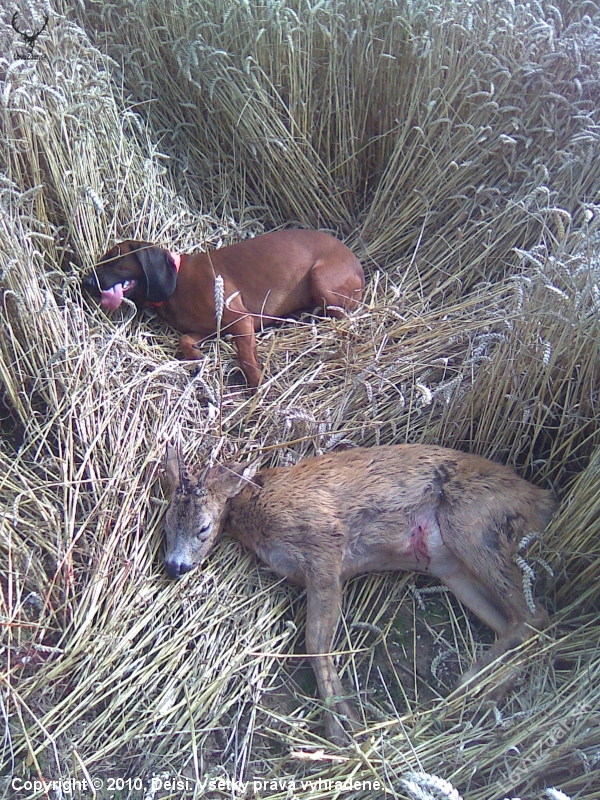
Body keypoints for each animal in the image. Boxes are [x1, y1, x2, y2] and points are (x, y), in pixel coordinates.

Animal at [84, 230, 364, 387]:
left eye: (114, 258)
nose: (85, 282)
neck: (178, 283)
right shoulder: (208, 329)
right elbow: (185, 340)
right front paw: (196, 358)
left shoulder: (240, 320)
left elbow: (247, 359)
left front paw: (258, 387)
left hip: (321, 281)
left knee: (341, 314)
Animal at [163, 443, 554, 745]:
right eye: (167, 522)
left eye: (203, 528)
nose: (174, 566)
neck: (258, 507)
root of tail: (539, 498)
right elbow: (319, 642)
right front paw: (345, 723)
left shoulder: (324, 546)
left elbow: (315, 642)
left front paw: (341, 729)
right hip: (449, 566)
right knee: (517, 623)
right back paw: (484, 693)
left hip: (471, 525)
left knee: (534, 615)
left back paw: (469, 684)